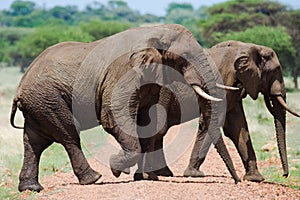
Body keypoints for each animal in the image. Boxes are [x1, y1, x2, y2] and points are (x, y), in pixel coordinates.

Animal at [8, 24, 240, 193]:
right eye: (186, 57)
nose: (238, 181)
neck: (154, 31)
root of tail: (19, 87)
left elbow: (147, 123)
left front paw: (146, 177)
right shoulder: (123, 73)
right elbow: (113, 116)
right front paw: (117, 168)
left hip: (39, 104)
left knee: (35, 142)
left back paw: (31, 188)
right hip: (48, 98)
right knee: (68, 135)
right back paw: (93, 179)